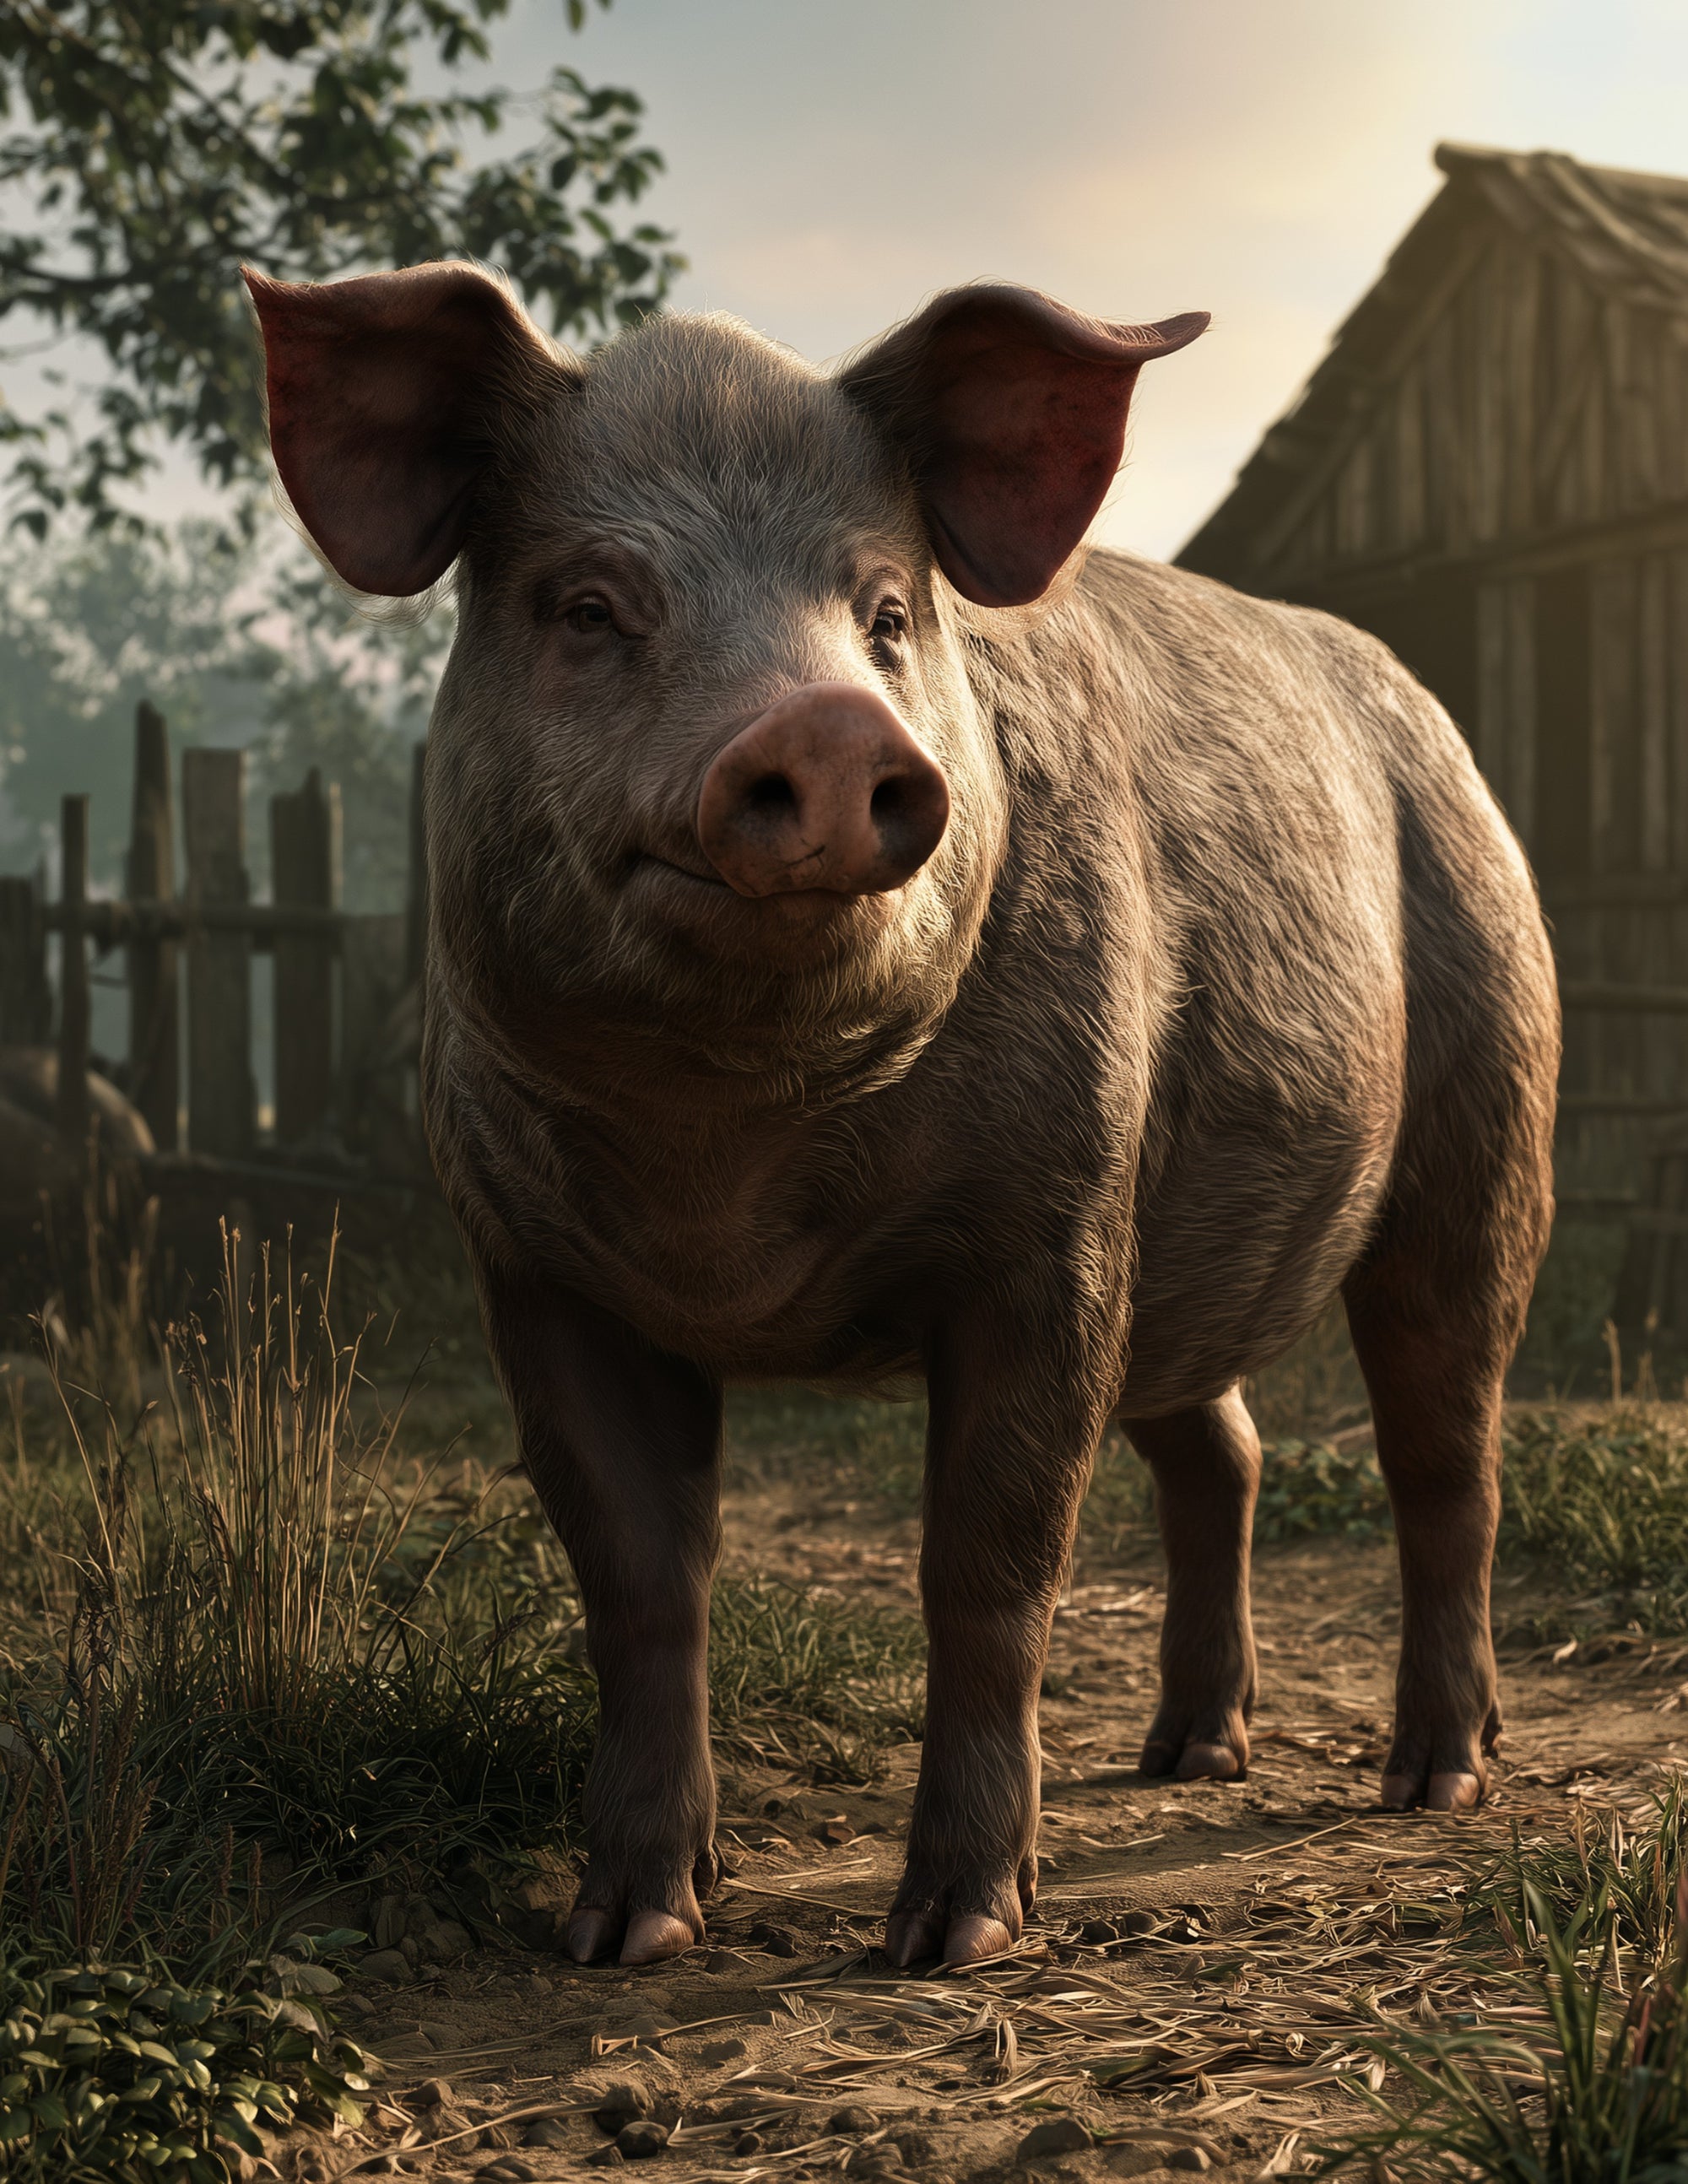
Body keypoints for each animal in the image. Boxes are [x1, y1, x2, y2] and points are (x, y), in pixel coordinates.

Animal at [245, 263, 1558, 1969]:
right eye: (589, 606)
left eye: (883, 613)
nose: (825, 724)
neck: (726, 1159)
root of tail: (1442, 727)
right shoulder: (528, 1263)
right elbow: (640, 1573)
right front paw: (628, 1934)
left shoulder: (1052, 1224)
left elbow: (988, 1564)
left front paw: (952, 1940)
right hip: (1183, 1234)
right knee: (1225, 1446)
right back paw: (1188, 1756)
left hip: (1487, 1096)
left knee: (1445, 1442)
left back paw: (1431, 1781)